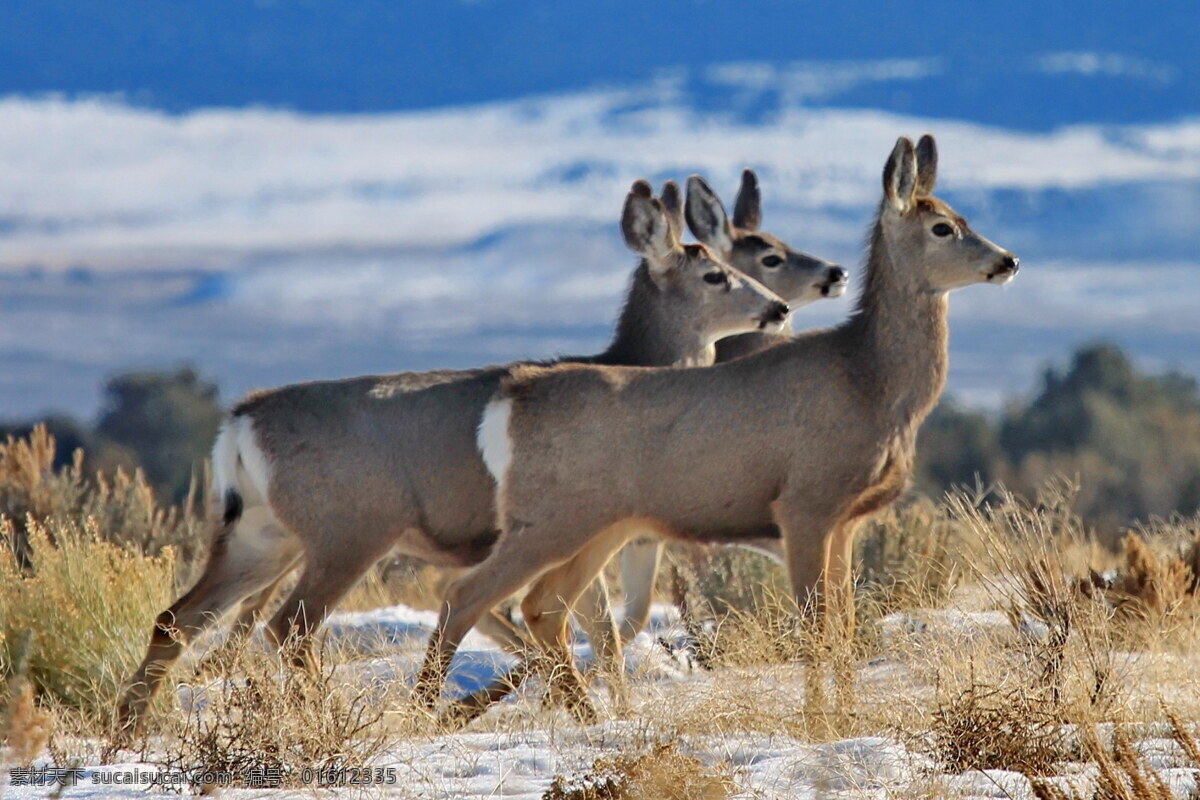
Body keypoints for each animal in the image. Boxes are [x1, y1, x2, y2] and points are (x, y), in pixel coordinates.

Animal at [114, 178, 796, 734]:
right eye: (716, 275)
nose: (779, 307)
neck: (631, 363)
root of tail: (239, 424)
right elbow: (568, 621)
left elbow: (597, 627)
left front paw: (608, 709)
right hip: (348, 529)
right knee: (290, 627)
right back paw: (322, 719)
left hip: (262, 533)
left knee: (176, 617)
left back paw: (129, 734)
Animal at [417, 134, 1017, 724]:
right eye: (942, 227)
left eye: (961, 215)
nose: (1008, 260)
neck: (869, 381)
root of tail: (510, 399)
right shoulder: (803, 503)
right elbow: (815, 626)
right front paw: (820, 724)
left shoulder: (847, 520)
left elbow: (845, 627)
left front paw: (849, 717)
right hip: (547, 520)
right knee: (467, 594)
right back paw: (427, 710)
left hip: (598, 525)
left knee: (545, 606)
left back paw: (586, 719)